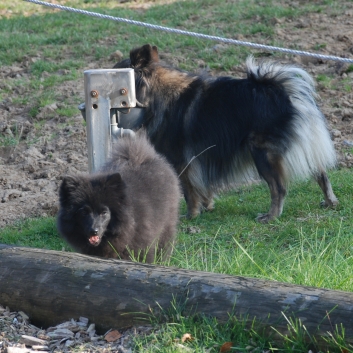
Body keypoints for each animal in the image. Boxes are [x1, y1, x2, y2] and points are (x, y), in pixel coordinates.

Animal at [114, 42, 336, 221]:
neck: (156, 95)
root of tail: (280, 91)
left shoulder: (181, 162)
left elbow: (188, 191)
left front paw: (191, 215)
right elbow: (202, 189)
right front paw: (207, 207)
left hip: (262, 154)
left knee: (278, 188)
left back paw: (271, 216)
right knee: (320, 173)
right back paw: (330, 202)